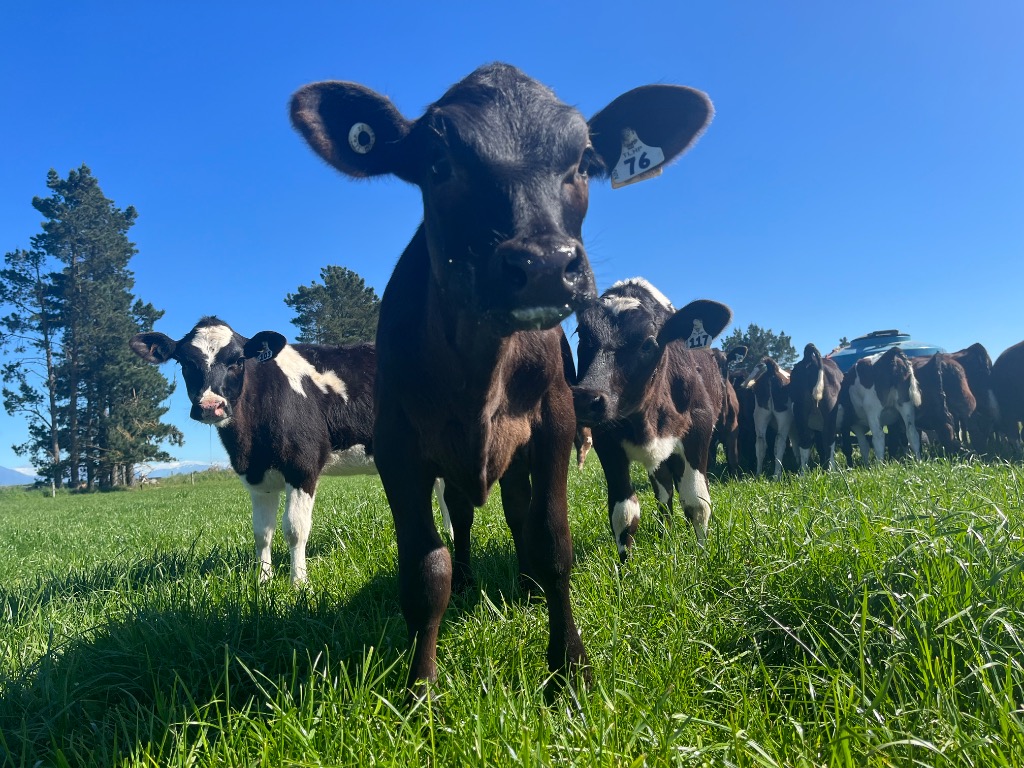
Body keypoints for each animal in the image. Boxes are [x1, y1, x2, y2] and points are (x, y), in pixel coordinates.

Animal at [290, 63, 714, 694]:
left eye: (583, 161)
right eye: (438, 161)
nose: (544, 265)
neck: (478, 366)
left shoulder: (557, 421)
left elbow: (552, 541)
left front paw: (570, 670)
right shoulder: (397, 444)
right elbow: (426, 569)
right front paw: (421, 689)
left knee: (518, 511)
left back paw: (527, 584)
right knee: (462, 516)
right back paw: (470, 578)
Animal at [571, 277, 731, 560]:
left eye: (647, 343)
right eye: (582, 334)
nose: (586, 398)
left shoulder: (699, 431)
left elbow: (698, 502)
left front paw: (701, 556)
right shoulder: (607, 443)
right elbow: (624, 513)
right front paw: (625, 568)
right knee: (664, 493)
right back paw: (665, 533)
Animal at [788, 343, 842, 472]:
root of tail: (810, 358)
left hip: (800, 411)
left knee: (805, 442)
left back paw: (803, 473)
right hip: (830, 412)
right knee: (829, 440)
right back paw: (832, 471)